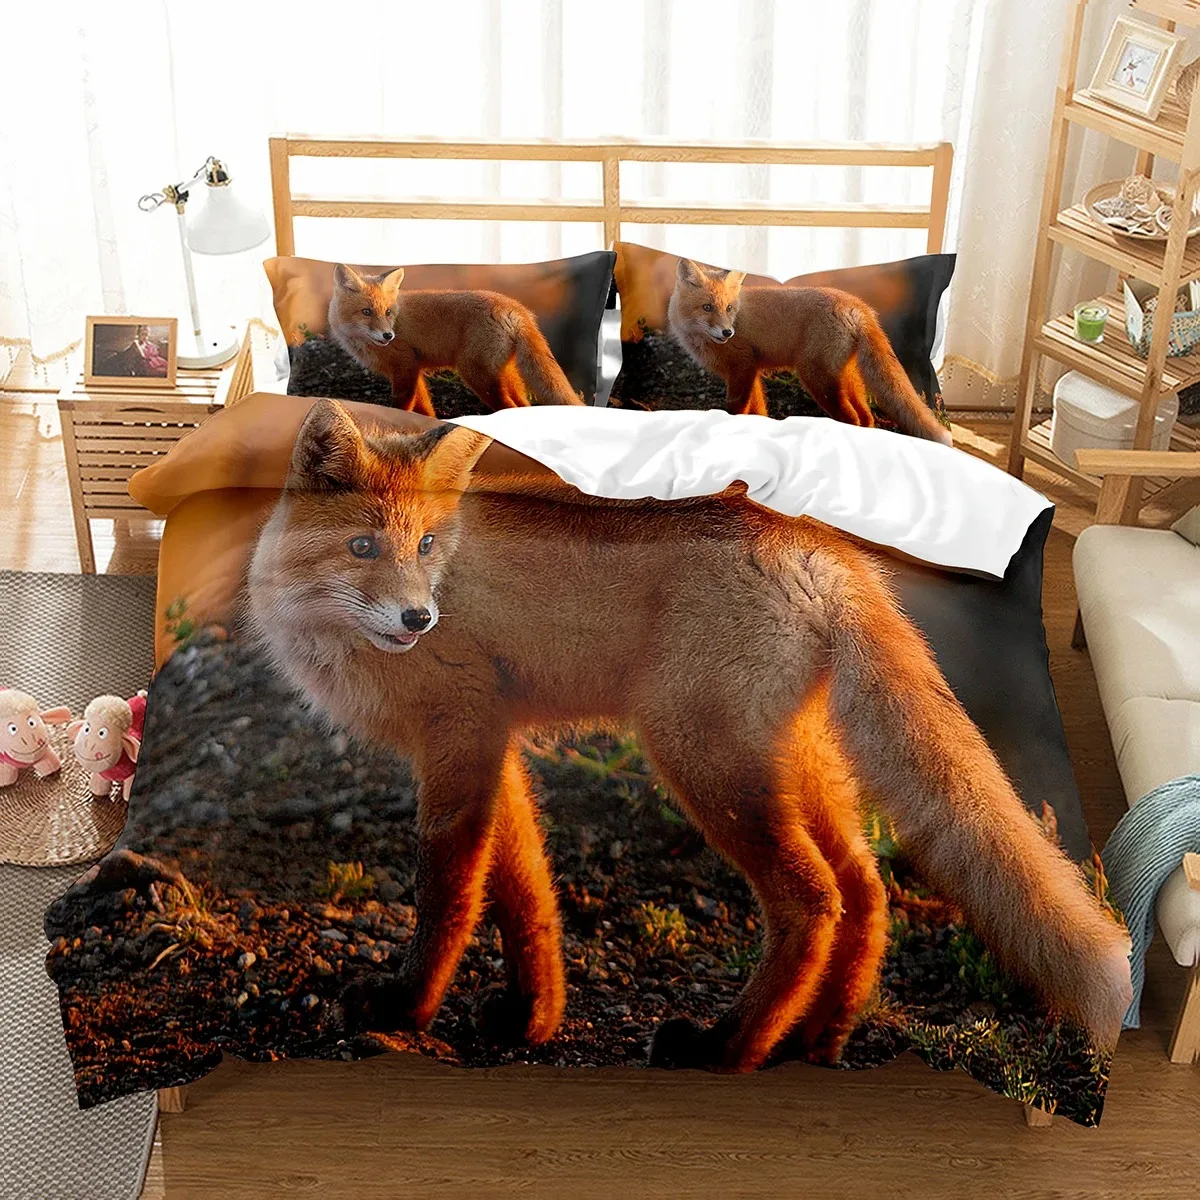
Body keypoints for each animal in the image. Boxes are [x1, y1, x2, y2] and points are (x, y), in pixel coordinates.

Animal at [245, 399, 1130, 1072]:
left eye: (427, 545)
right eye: (363, 546)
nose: (417, 619)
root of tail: (811, 540)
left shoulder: (458, 733)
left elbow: (448, 894)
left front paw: (405, 1009)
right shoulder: (495, 741)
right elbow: (526, 893)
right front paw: (533, 1018)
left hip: (700, 759)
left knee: (815, 898)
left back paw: (730, 1050)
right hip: (791, 765)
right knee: (868, 889)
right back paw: (817, 1040)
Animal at [329, 263, 584, 415]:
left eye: (388, 312)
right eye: (367, 312)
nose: (388, 335)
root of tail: (516, 308)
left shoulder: (405, 365)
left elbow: (402, 405)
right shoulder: (413, 370)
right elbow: (425, 408)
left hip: (476, 375)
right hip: (506, 375)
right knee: (523, 406)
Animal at [668, 257, 953, 445]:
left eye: (728, 308)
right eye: (707, 307)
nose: (728, 333)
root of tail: (858, 305)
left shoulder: (743, 366)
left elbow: (736, 408)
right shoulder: (752, 371)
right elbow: (759, 410)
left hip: (816, 378)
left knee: (852, 418)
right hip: (846, 377)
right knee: (866, 417)